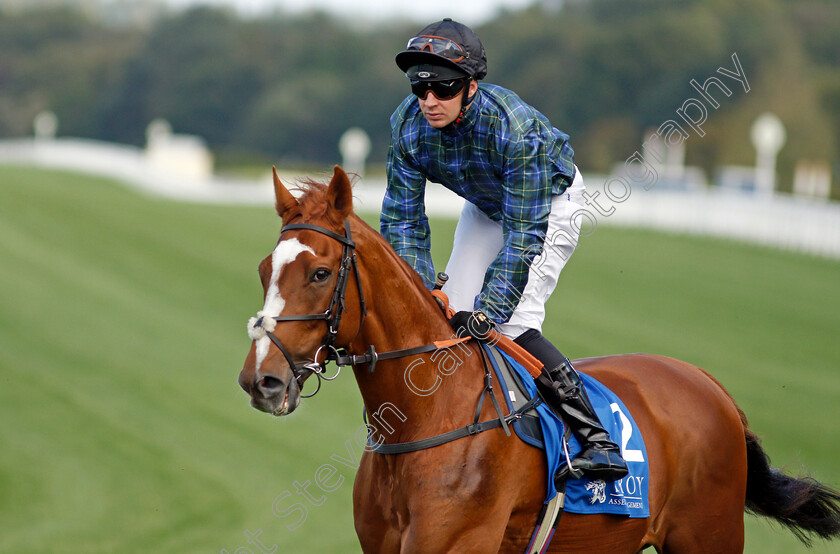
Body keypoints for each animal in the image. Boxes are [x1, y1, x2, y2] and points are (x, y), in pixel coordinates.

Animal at [238, 166, 840, 548]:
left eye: (319, 273)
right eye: (265, 269)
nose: (260, 380)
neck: (429, 417)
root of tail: (712, 386)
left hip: (707, 535)